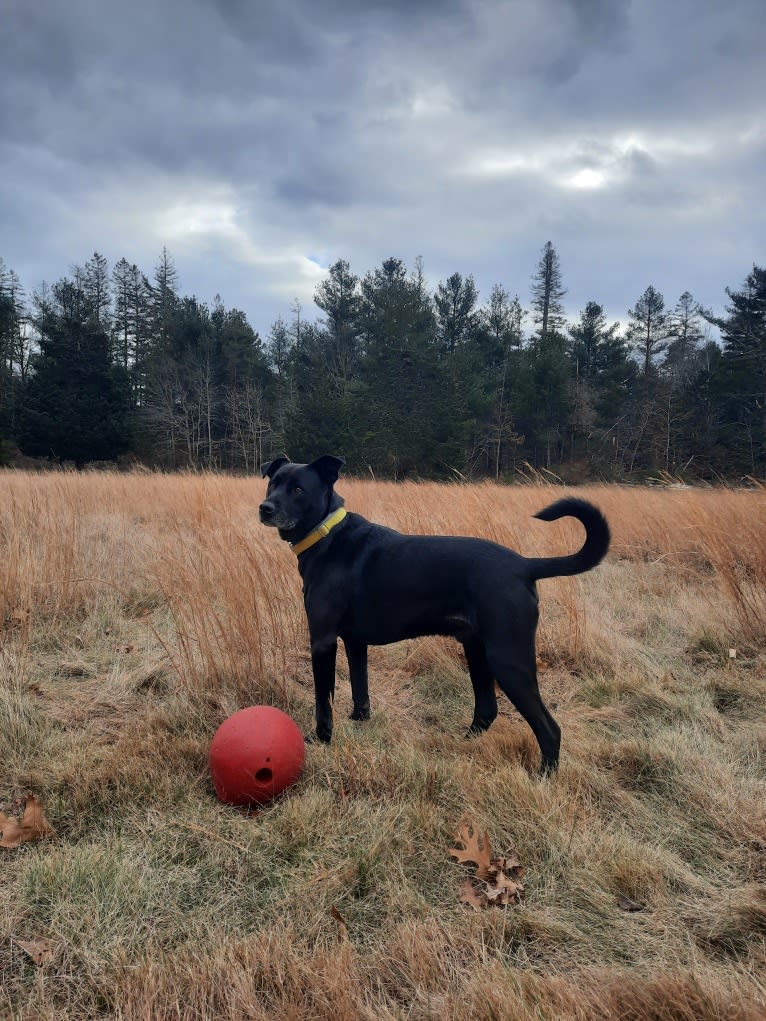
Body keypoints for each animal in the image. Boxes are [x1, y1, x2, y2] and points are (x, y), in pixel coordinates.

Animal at [259, 457, 612, 771]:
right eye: (273, 483)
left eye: (299, 489)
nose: (265, 508)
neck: (327, 535)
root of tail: (525, 565)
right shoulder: (355, 642)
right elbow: (361, 688)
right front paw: (360, 721)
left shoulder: (323, 640)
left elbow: (324, 698)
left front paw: (322, 737)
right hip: (477, 650)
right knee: (487, 708)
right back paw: (463, 743)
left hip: (508, 658)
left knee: (548, 728)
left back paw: (544, 776)